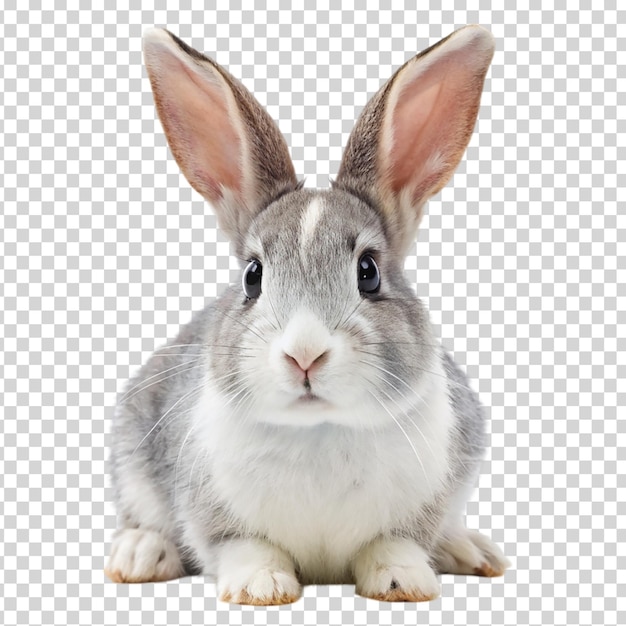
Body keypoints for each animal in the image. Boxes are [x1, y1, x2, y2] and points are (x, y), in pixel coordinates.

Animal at [106, 25, 508, 604]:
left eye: (369, 272)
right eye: (252, 276)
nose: (305, 355)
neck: (319, 428)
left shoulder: (420, 506)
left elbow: (394, 543)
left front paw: (403, 581)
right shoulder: (215, 516)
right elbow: (245, 548)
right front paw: (261, 587)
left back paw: (470, 550)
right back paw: (140, 554)